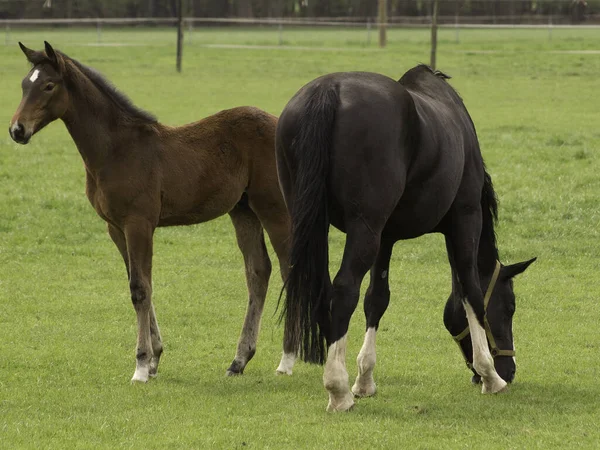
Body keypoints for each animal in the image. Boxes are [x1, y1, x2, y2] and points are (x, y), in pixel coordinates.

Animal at [10, 42, 296, 382]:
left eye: (49, 86)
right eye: (24, 84)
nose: (17, 130)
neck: (117, 149)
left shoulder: (139, 223)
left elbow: (140, 289)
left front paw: (141, 366)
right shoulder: (116, 228)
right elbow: (140, 282)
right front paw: (155, 359)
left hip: (274, 209)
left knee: (289, 269)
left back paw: (287, 360)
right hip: (243, 210)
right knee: (258, 271)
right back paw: (238, 360)